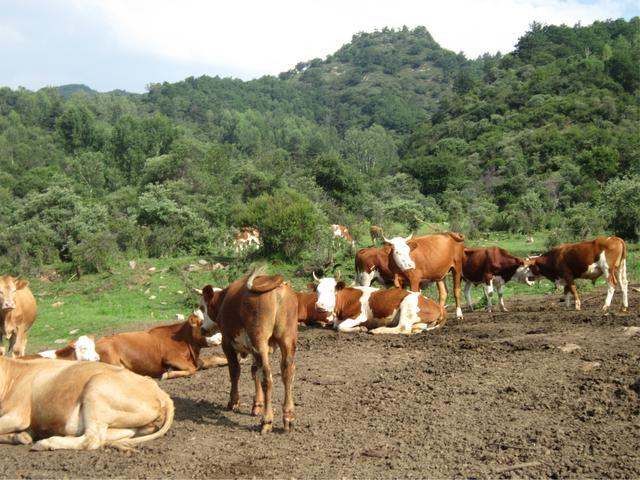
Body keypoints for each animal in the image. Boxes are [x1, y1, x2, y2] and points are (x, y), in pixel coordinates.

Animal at [0, 356, 174, 450]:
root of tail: (161, 393)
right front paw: (20, 436)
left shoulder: (18, 415)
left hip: (96, 387)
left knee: (91, 439)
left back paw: (46, 443)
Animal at [95, 310, 225, 380]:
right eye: (203, 323)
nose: (220, 338)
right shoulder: (171, 357)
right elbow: (191, 369)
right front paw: (167, 374)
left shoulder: (195, 360)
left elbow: (213, 358)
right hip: (113, 361)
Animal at [199, 266, 298, 436]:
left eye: (202, 307)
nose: (202, 329)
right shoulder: (255, 349)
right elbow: (254, 372)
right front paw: (256, 404)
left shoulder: (227, 343)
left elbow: (234, 371)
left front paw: (233, 401)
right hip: (287, 340)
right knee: (287, 374)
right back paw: (288, 417)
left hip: (260, 341)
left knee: (267, 378)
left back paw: (267, 420)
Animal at [314, 274, 444, 334]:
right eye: (317, 291)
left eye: (331, 290)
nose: (319, 305)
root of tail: (437, 306)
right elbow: (336, 325)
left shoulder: (359, 316)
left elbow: (340, 327)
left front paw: (361, 328)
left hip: (408, 304)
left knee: (402, 328)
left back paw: (377, 330)